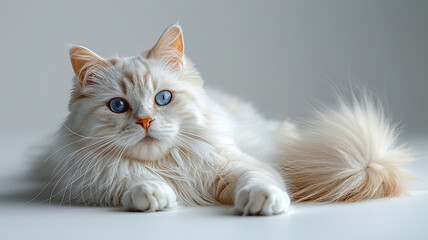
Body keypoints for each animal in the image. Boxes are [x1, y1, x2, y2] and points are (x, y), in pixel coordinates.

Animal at [41, 24, 412, 216]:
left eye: (163, 99)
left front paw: (262, 202)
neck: (169, 165)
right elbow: (131, 180)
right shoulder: (89, 180)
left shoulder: (239, 165)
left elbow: (257, 180)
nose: (145, 122)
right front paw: (153, 193)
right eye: (118, 106)